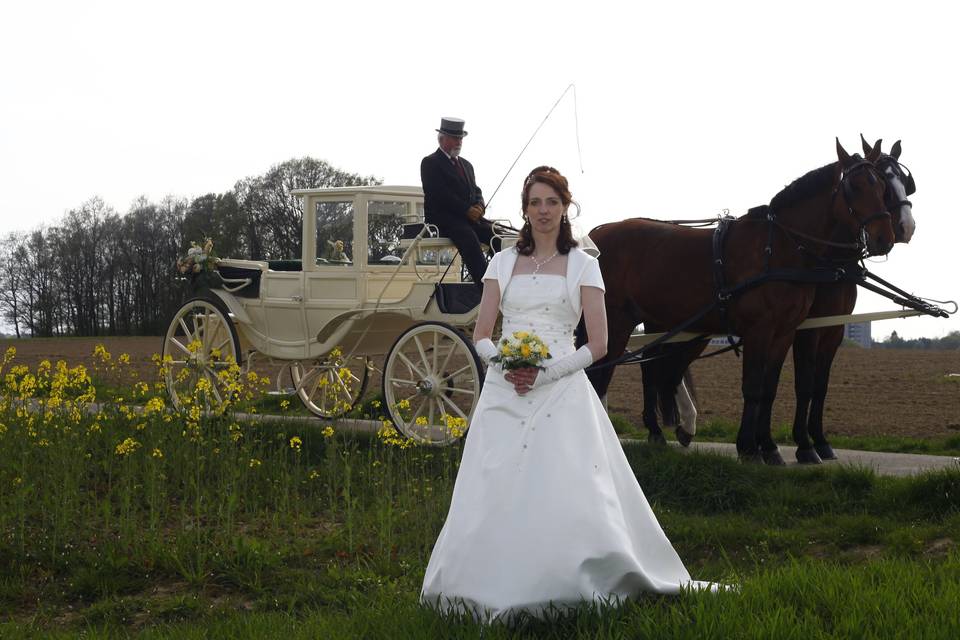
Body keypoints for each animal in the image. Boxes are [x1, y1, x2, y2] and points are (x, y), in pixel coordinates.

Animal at [588, 140, 896, 462]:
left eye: (882, 186)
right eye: (856, 186)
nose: (884, 238)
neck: (779, 248)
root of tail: (597, 235)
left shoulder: (784, 332)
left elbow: (768, 388)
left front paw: (768, 447)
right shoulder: (761, 330)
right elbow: (753, 387)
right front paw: (750, 448)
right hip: (616, 322)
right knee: (602, 374)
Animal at [792, 138, 920, 462]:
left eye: (905, 182)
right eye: (885, 182)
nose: (906, 228)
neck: (831, 263)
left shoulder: (834, 330)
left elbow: (821, 385)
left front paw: (820, 441)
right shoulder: (806, 330)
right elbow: (803, 383)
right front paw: (803, 444)